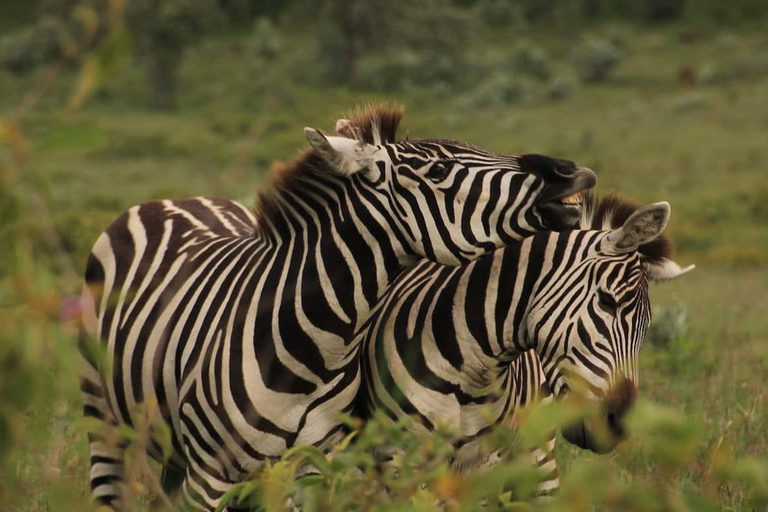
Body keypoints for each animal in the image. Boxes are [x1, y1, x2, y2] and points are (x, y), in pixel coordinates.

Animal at [356, 192, 692, 496]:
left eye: (646, 327)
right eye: (607, 302)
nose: (617, 427)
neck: (469, 372)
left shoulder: (489, 462)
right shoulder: (398, 459)